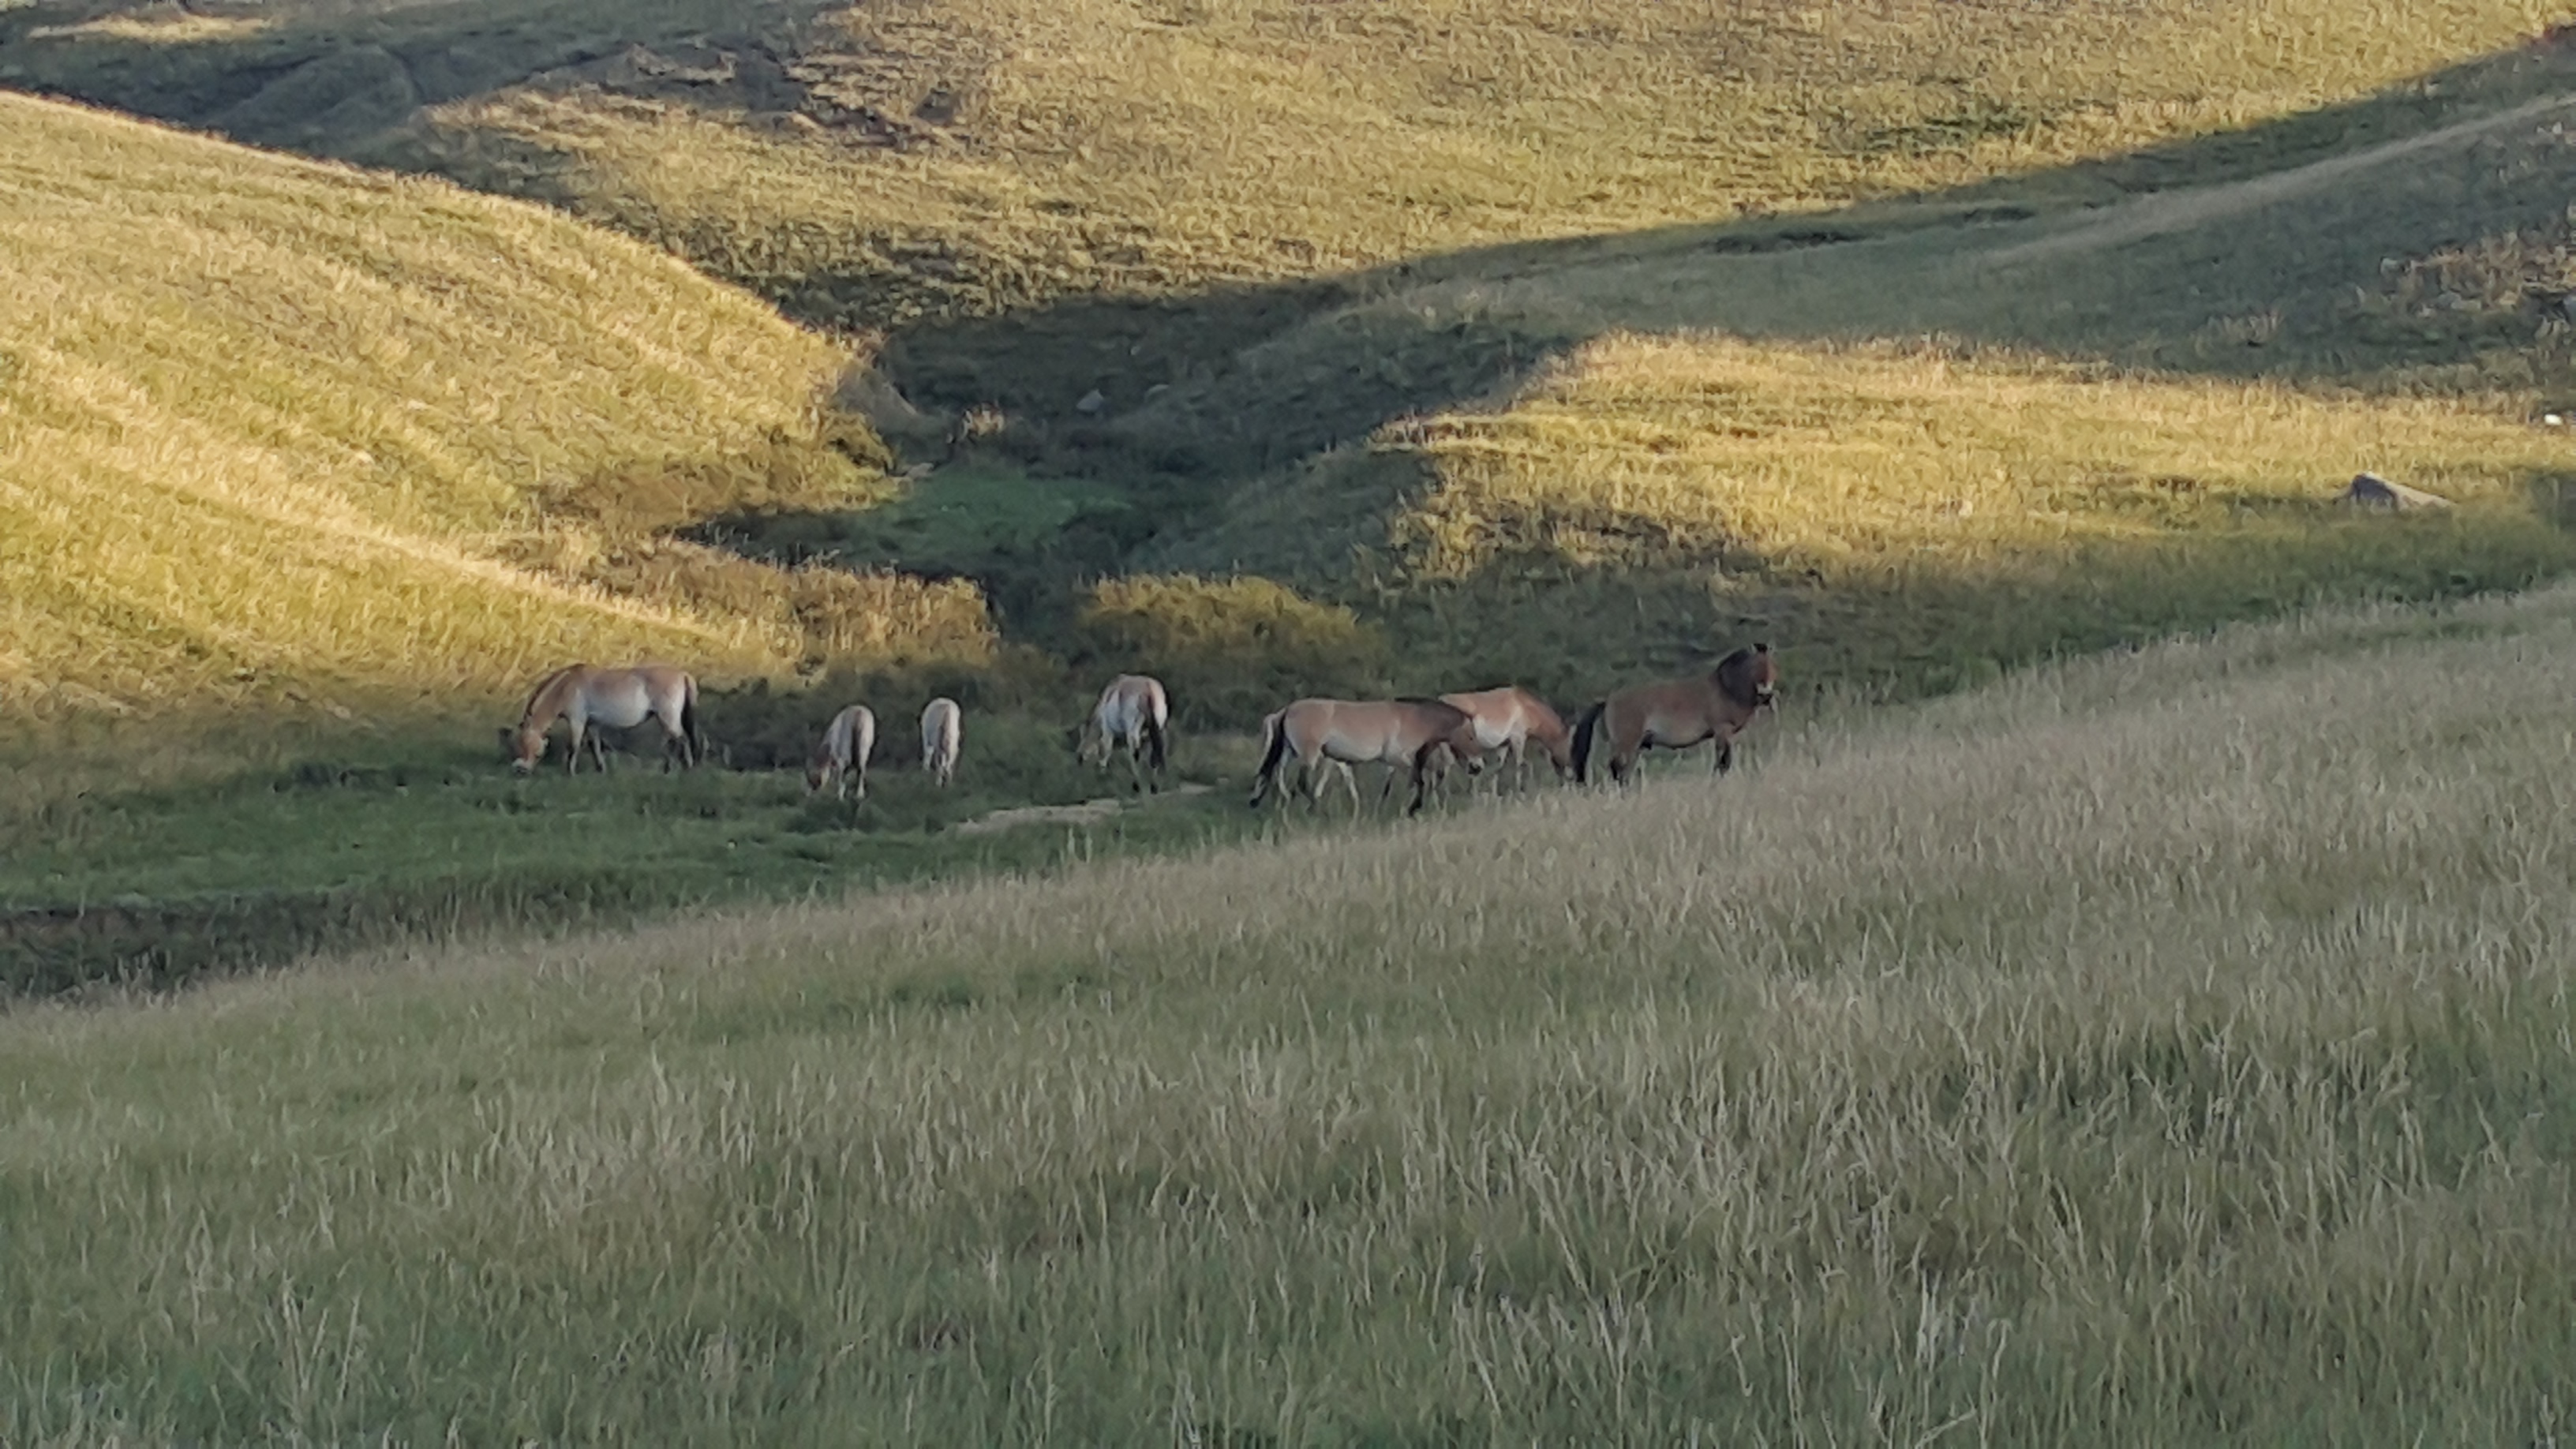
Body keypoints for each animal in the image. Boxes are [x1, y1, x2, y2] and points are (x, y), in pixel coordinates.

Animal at [502, 665, 700, 773]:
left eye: (534, 751)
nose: (522, 770)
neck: (566, 686)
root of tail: (682, 674)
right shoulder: (593, 724)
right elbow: (595, 745)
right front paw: (600, 769)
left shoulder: (577, 720)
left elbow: (574, 745)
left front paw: (569, 771)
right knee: (673, 742)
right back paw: (668, 769)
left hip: (668, 718)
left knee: (683, 739)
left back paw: (687, 767)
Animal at [1071, 675, 1174, 788]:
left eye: (1083, 740)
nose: (1079, 759)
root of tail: (1147, 690)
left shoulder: (1107, 730)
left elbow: (1106, 750)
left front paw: (1102, 775)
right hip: (1160, 729)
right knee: (1157, 753)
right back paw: (1153, 786)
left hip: (1132, 732)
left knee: (1134, 753)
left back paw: (1137, 784)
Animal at [1252, 696, 1494, 814]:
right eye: (1471, 736)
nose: (1477, 767)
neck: (1417, 720)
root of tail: (1288, 709)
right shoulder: (1401, 760)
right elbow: (1419, 782)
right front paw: (1412, 808)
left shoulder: (1411, 761)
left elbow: (1416, 783)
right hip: (1309, 755)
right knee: (1301, 783)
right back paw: (1318, 810)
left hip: (1290, 751)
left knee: (1278, 775)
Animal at [1432, 685, 1566, 788]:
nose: (1564, 784)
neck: (1525, 705)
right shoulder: (1518, 739)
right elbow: (1519, 765)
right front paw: (1519, 792)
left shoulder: (1503, 745)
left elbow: (1498, 768)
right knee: (1447, 766)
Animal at [1556, 639, 1782, 784]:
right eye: (1755, 665)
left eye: (1772, 665)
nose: (1766, 694)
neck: (1726, 688)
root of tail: (1609, 700)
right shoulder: (1722, 731)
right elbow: (1722, 762)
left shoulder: (1729, 735)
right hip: (1626, 744)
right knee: (1617, 769)